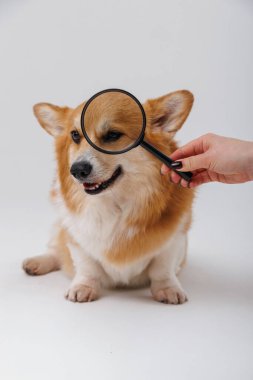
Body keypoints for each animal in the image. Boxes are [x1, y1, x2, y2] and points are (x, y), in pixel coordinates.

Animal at [22, 88, 195, 302]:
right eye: (75, 135)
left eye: (113, 135)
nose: (77, 170)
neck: (115, 202)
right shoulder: (77, 238)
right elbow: (86, 266)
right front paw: (83, 287)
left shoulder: (175, 239)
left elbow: (162, 268)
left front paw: (168, 289)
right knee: (56, 250)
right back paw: (36, 263)